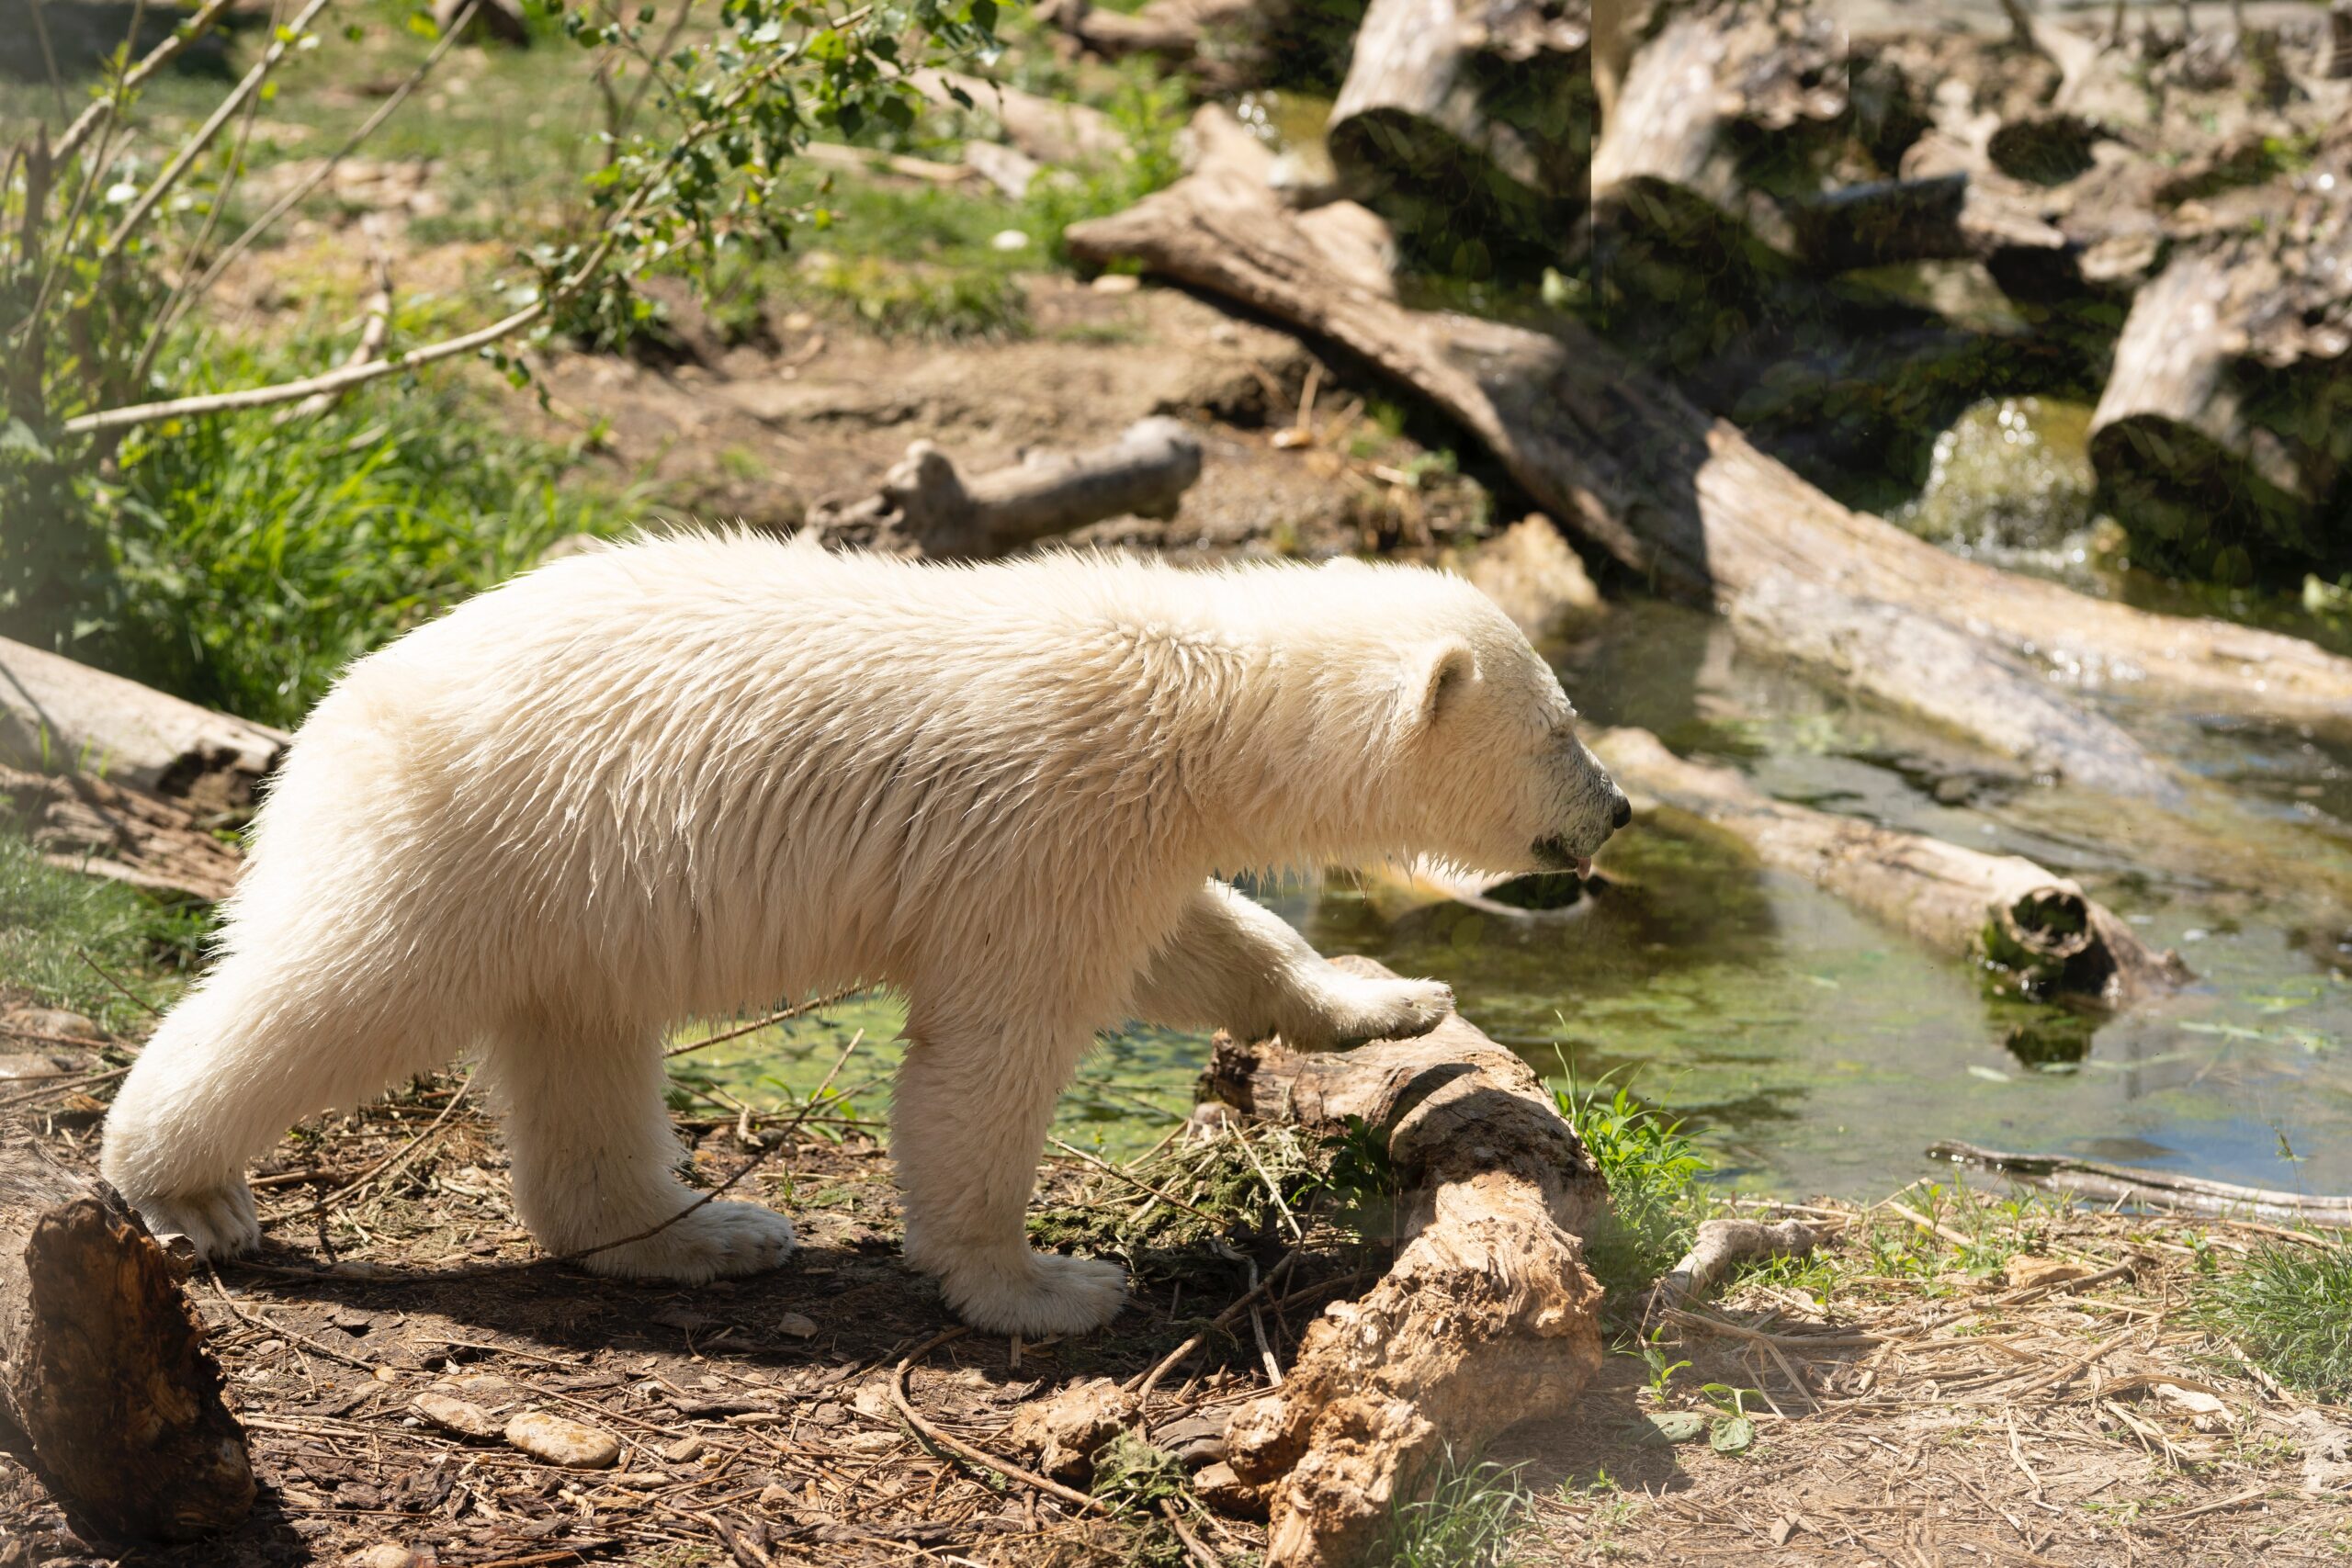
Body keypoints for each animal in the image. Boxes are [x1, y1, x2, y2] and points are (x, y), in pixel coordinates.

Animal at [101, 533, 1627, 1335]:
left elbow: (1199, 941)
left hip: (578, 891)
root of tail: (339, 700)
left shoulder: (1108, 841)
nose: (1614, 808)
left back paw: (709, 1230)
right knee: (333, 989)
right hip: (470, 839)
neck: (1196, 698)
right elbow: (993, 1052)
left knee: (582, 1049)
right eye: (1561, 727)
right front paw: (1048, 1280)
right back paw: (183, 1184)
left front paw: (1396, 999)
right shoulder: (1047, 820)